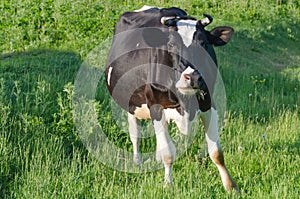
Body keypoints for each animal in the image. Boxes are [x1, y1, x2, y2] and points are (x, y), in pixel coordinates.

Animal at [105, 5, 239, 192]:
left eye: (204, 43)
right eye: (171, 44)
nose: (193, 77)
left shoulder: (208, 104)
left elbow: (216, 152)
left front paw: (230, 186)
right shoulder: (156, 107)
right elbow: (169, 153)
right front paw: (168, 185)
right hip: (131, 104)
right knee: (135, 134)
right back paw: (137, 162)